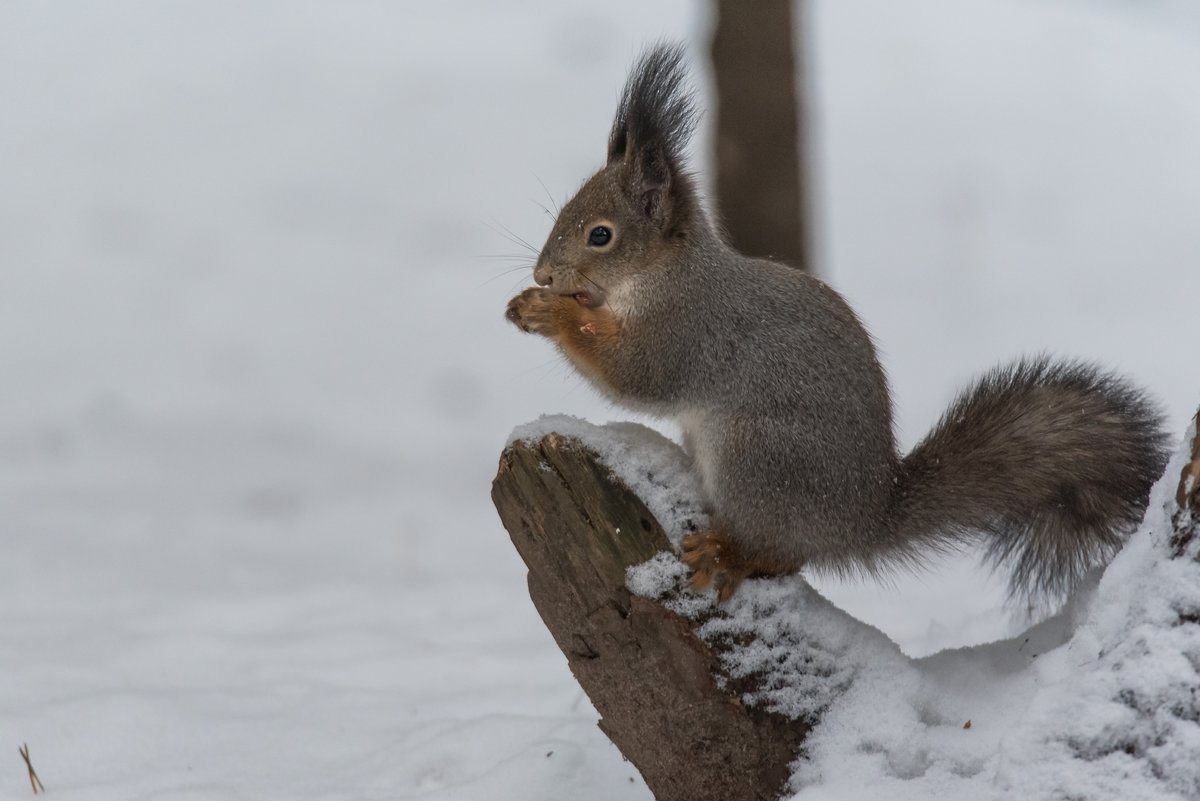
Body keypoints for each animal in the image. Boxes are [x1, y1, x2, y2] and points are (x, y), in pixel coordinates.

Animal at [501, 42, 1166, 606]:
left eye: (601, 236)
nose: (542, 273)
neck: (666, 274)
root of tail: (858, 524)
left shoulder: (689, 330)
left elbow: (635, 378)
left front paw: (550, 312)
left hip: (758, 458)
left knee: (777, 553)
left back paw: (729, 553)